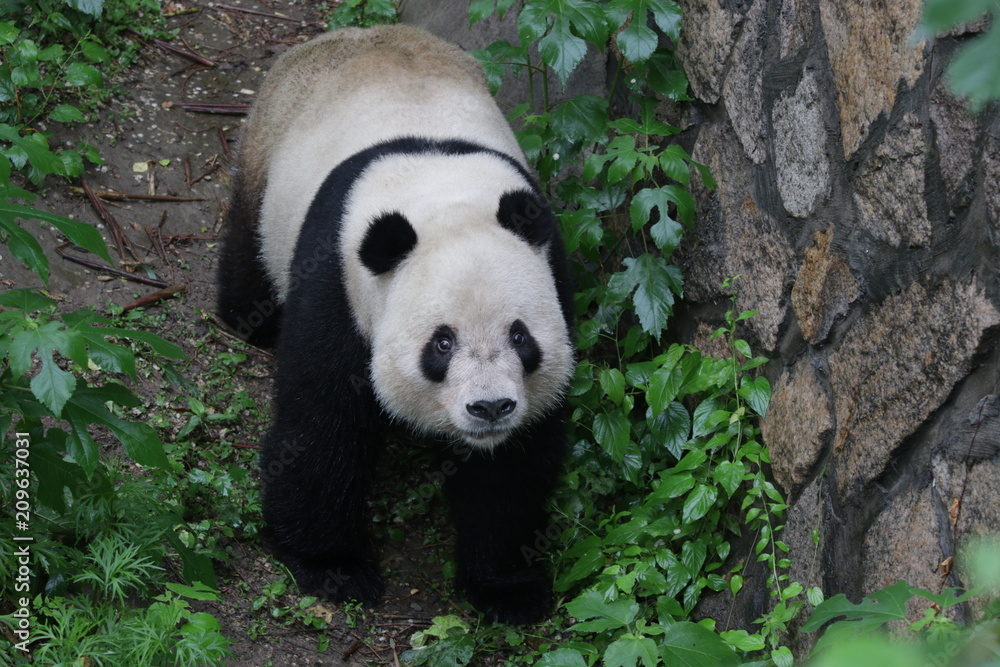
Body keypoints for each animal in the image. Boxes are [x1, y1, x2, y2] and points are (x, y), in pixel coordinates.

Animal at [216, 25, 574, 625]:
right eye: (442, 343)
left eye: (520, 336)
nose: (490, 407)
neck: (443, 196)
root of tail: (357, 32)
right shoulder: (337, 278)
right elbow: (323, 421)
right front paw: (332, 566)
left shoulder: (553, 271)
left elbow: (513, 465)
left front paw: (505, 586)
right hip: (264, 155)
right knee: (248, 248)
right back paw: (248, 319)